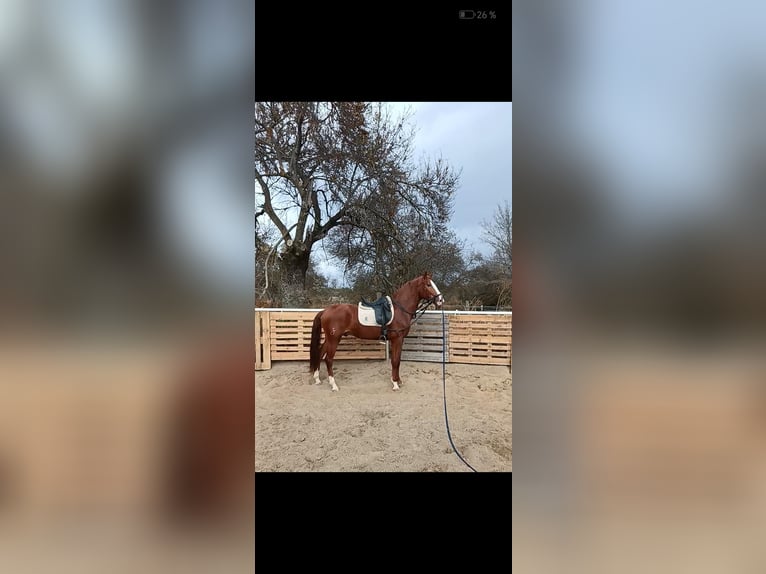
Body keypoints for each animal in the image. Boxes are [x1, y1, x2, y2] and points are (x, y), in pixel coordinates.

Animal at [309, 271, 444, 391]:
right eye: (428, 284)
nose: (441, 300)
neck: (399, 309)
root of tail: (325, 311)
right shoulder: (397, 339)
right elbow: (395, 361)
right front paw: (395, 384)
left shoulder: (399, 340)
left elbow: (398, 360)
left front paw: (398, 380)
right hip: (334, 338)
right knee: (328, 359)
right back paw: (334, 385)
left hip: (329, 338)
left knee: (320, 353)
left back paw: (317, 379)